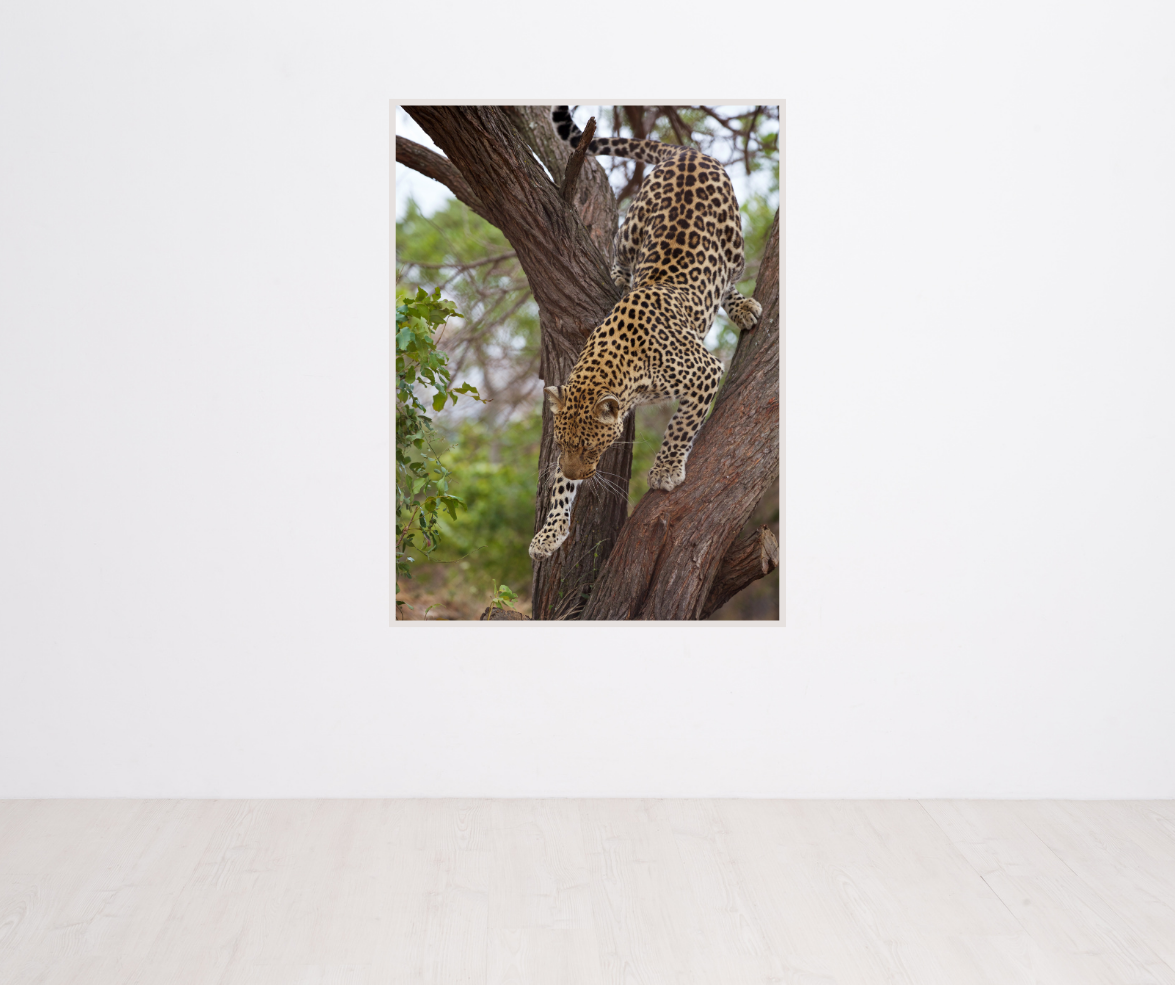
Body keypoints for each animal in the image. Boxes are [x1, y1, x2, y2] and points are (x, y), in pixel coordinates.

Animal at [528, 106, 762, 561]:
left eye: (590, 448)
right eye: (562, 444)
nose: (575, 469)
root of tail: (688, 152)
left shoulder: (704, 371)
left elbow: (682, 425)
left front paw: (666, 469)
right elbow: (561, 489)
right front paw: (550, 532)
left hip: (735, 245)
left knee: (727, 277)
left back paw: (743, 306)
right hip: (632, 227)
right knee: (622, 252)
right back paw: (623, 277)